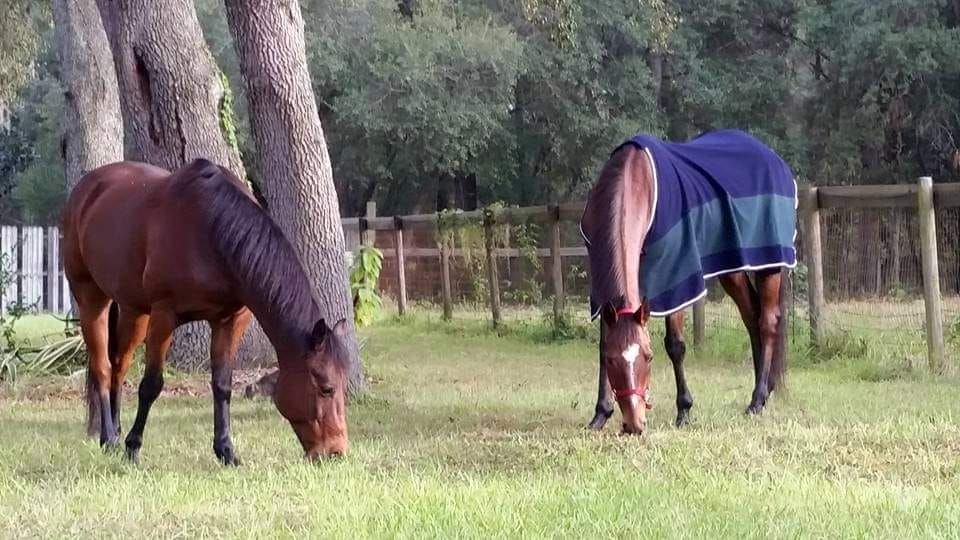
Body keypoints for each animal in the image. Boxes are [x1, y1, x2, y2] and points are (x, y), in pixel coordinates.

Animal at [62, 157, 350, 464]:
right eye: (326, 388)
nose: (336, 452)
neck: (211, 228)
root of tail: (87, 187)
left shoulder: (230, 320)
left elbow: (222, 385)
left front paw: (226, 450)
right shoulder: (164, 316)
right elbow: (151, 385)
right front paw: (133, 446)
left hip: (134, 311)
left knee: (119, 365)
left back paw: (114, 431)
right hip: (92, 299)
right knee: (102, 368)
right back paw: (110, 438)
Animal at [580, 131, 800, 434]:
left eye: (648, 357)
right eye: (614, 360)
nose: (635, 424)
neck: (638, 182)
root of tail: (776, 160)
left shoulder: (676, 277)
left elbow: (675, 345)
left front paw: (684, 410)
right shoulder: (602, 287)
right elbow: (603, 343)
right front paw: (601, 414)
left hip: (770, 265)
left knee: (767, 322)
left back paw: (756, 401)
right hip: (733, 269)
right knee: (751, 318)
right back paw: (764, 390)